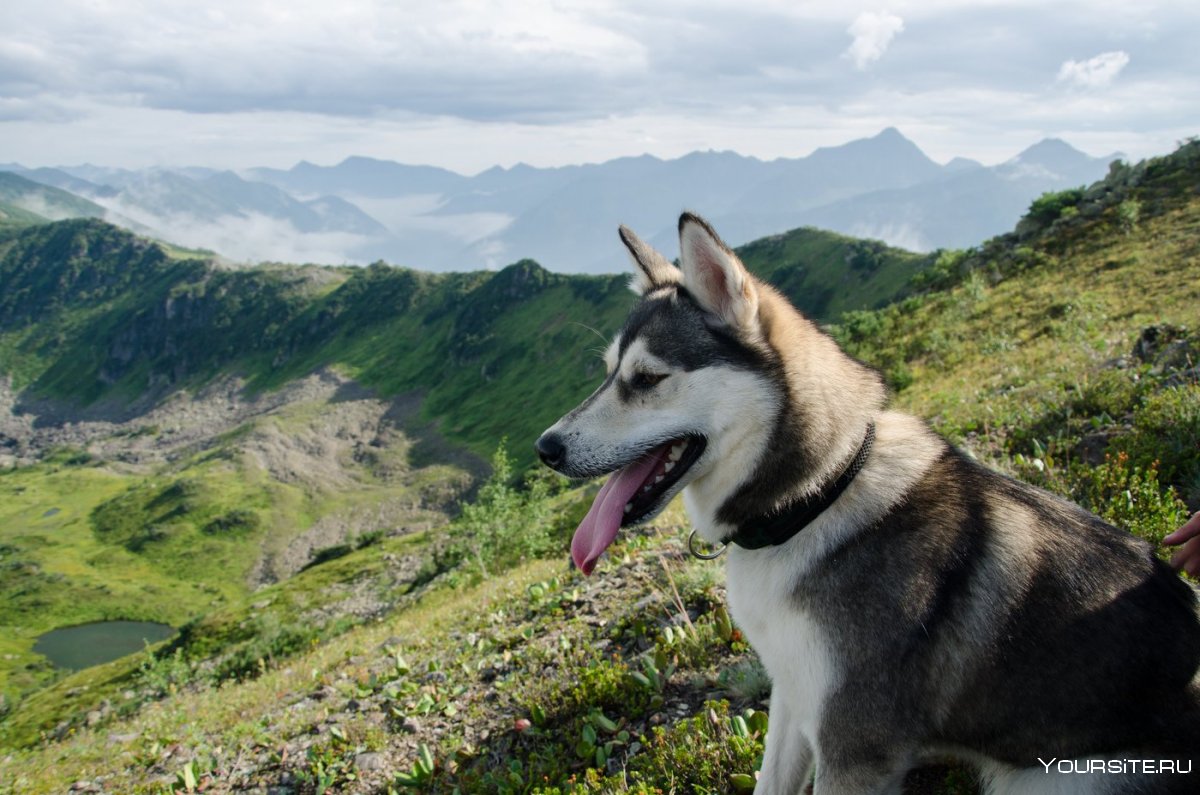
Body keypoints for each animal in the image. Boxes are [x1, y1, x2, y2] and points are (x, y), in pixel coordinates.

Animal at [537, 214, 1200, 792]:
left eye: (647, 379)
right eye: (608, 373)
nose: (546, 447)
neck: (813, 500)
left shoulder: (854, 747)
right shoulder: (793, 696)